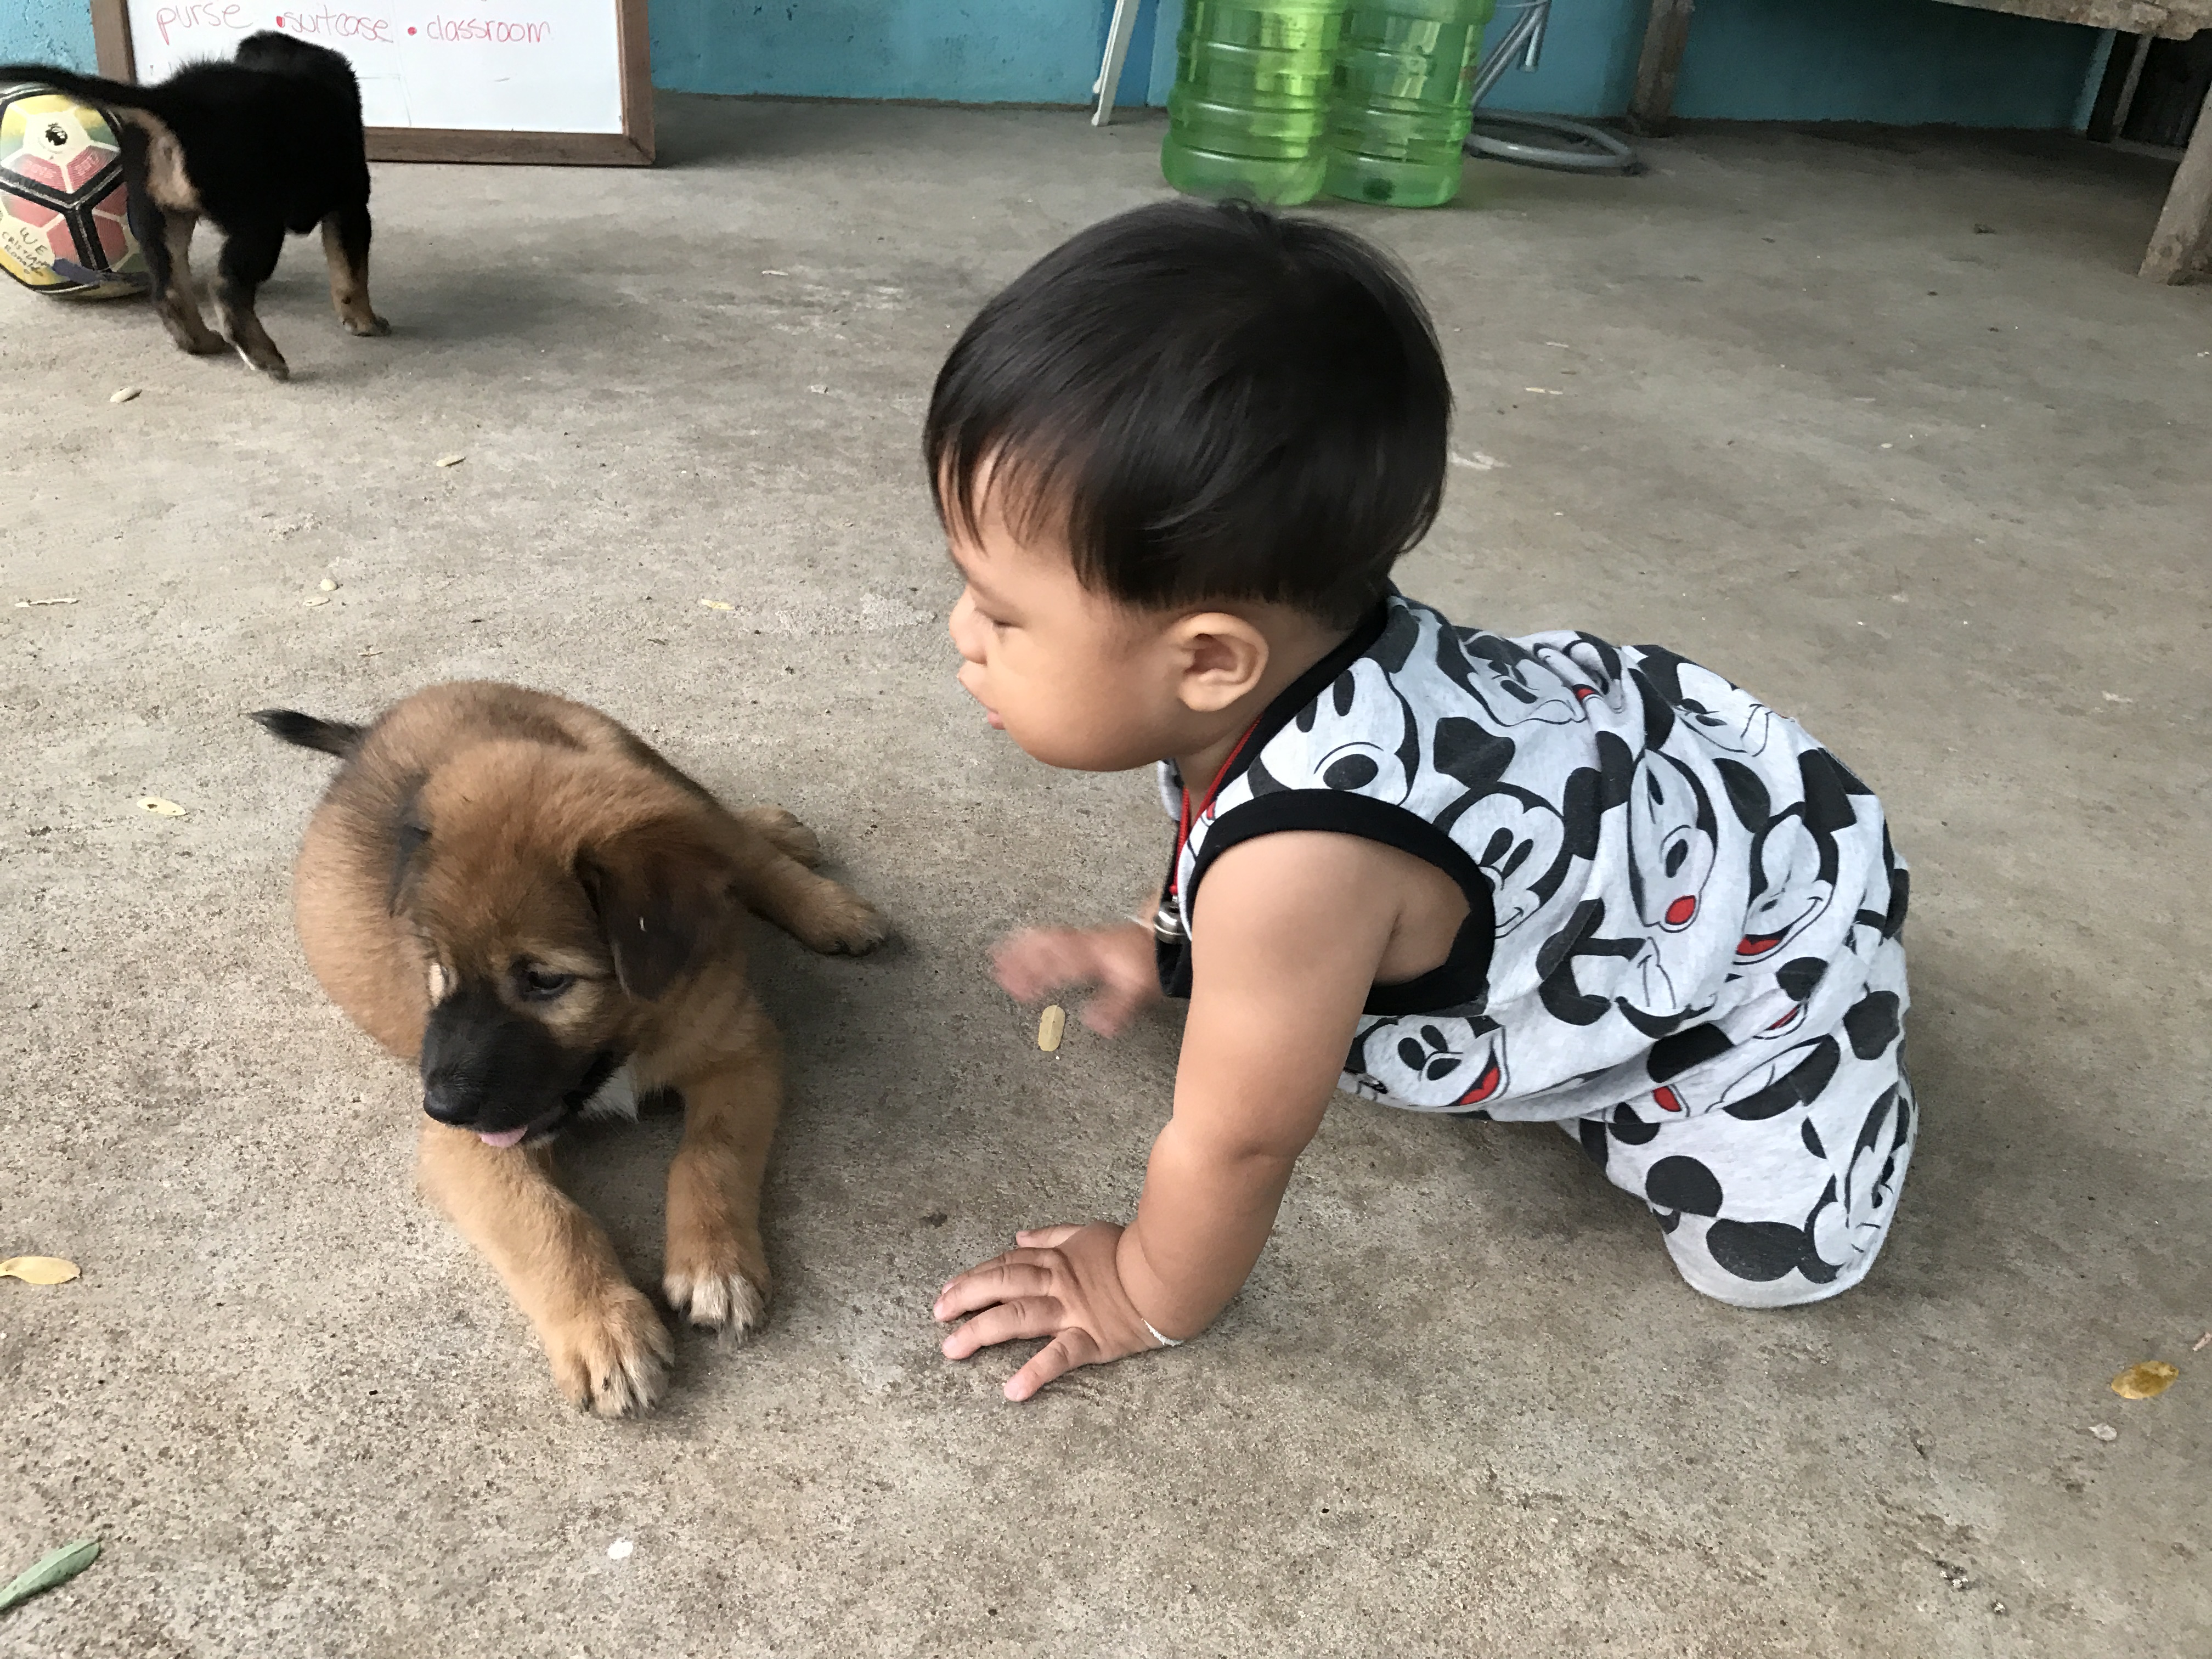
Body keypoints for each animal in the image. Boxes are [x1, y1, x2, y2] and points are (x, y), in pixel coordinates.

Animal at [1, 33, 387, 379]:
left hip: (155, 215)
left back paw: (201, 343)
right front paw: (365, 322)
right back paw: (266, 359)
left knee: (169, 290)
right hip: (259, 221)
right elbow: (353, 274)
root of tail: (173, 101)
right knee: (227, 287)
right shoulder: (352, 206)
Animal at [254, 682, 887, 1415]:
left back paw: (820, 893)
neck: (630, 1039)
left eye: (546, 980)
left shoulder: (742, 1051)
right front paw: (603, 1328)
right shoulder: (470, 1149)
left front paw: (717, 1263)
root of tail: (382, 724)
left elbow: (711, 1155)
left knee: (730, 839)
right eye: (438, 967)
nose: (440, 1106)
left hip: (637, 763)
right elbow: (548, 1220)